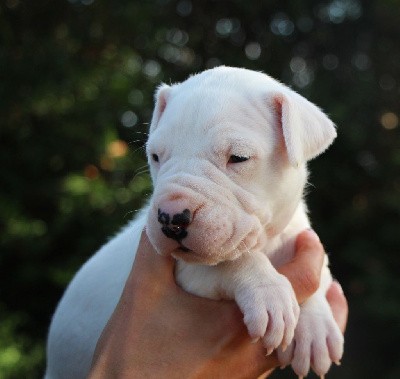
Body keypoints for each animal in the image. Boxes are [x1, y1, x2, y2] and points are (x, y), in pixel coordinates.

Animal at [44, 67, 344, 378]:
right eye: (155, 157)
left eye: (238, 157)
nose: (170, 218)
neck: (267, 242)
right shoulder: (188, 272)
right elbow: (229, 261)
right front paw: (268, 291)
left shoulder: (299, 235)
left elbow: (320, 276)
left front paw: (316, 327)